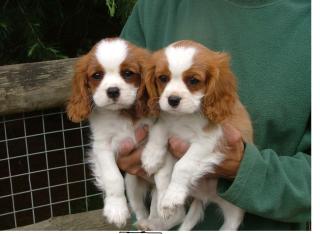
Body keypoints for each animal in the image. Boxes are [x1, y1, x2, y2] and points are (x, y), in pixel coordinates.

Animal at [66, 37, 152, 228]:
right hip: (132, 181)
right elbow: (113, 178)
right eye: (97, 76)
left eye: (128, 73)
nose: (112, 91)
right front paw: (116, 210)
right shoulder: (102, 147)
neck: (120, 112)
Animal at [142, 40, 252, 230]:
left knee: (230, 224)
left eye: (193, 80)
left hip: (233, 211)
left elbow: (183, 166)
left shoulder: (209, 141)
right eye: (163, 78)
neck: (184, 117)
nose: (172, 100)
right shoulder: (167, 123)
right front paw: (152, 157)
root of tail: (205, 197)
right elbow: (159, 141)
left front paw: (171, 197)